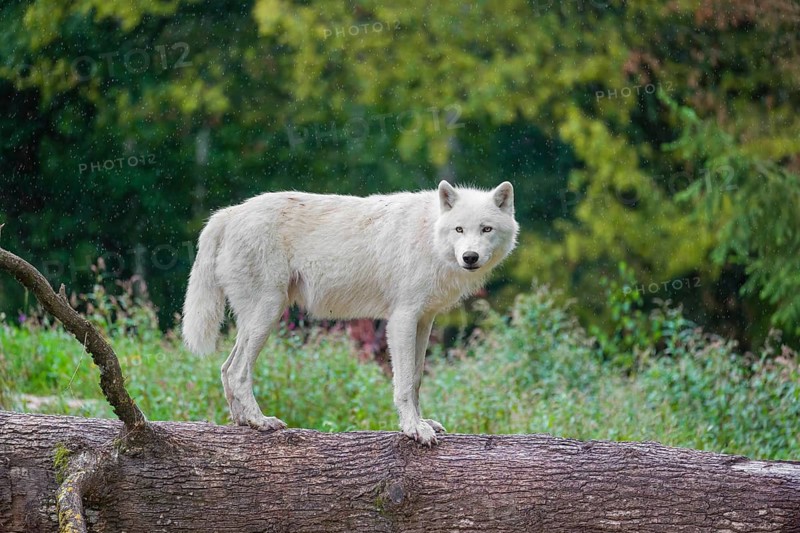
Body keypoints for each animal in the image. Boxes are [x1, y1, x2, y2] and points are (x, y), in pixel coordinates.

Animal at [181, 180, 519, 445]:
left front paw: (423, 422)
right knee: (238, 371)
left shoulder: (424, 320)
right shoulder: (402, 319)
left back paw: (241, 422)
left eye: (486, 229)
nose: (470, 257)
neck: (430, 236)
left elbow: (417, 380)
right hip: (268, 311)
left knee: (225, 367)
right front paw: (413, 429)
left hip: (257, 318)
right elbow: (403, 383)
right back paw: (260, 421)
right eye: (459, 229)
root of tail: (228, 213)